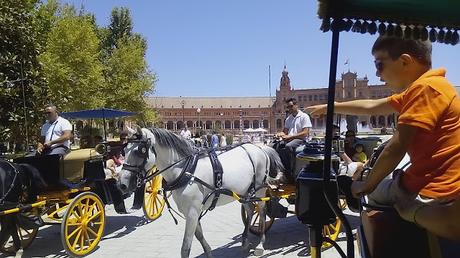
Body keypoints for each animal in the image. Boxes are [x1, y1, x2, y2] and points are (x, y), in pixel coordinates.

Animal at [118, 128, 284, 256]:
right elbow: (199, 235)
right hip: (245, 192)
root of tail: (260, 148)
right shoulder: (191, 211)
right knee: (249, 209)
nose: (122, 184)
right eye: (124, 150)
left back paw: (260, 244)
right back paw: (244, 241)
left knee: (261, 212)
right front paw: (208, 252)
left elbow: (185, 247)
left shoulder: (192, 211)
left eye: (140, 151)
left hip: (260, 190)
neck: (185, 170)